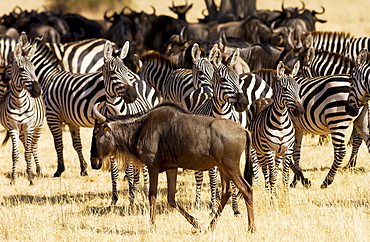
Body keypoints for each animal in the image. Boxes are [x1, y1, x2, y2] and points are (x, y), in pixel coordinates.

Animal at [0, 42, 46, 184]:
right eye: (21, 69)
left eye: (34, 69)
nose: (37, 91)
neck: (19, 103)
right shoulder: (13, 128)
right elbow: (15, 154)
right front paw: (13, 179)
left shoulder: (28, 127)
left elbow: (28, 152)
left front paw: (30, 179)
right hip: (20, 132)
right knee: (27, 147)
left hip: (38, 128)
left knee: (33, 147)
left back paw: (38, 170)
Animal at [250, 61, 308, 194]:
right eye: (285, 89)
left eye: (298, 88)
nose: (300, 111)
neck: (280, 122)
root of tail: (263, 98)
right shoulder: (269, 150)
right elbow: (272, 174)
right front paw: (273, 194)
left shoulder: (287, 150)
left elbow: (285, 175)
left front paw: (285, 194)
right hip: (259, 150)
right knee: (265, 171)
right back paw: (268, 190)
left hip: (277, 153)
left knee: (273, 170)